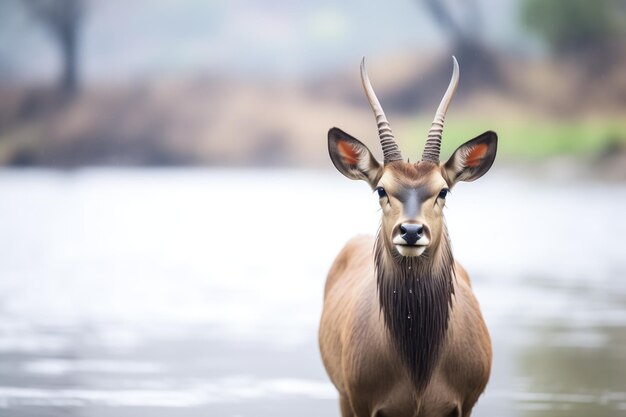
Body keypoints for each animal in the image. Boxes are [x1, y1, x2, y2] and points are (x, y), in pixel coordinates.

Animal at [320, 56, 494, 416]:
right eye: (381, 189)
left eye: (443, 190)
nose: (411, 231)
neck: (419, 370)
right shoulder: (361, 401)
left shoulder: (467, 403)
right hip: (343, 396)